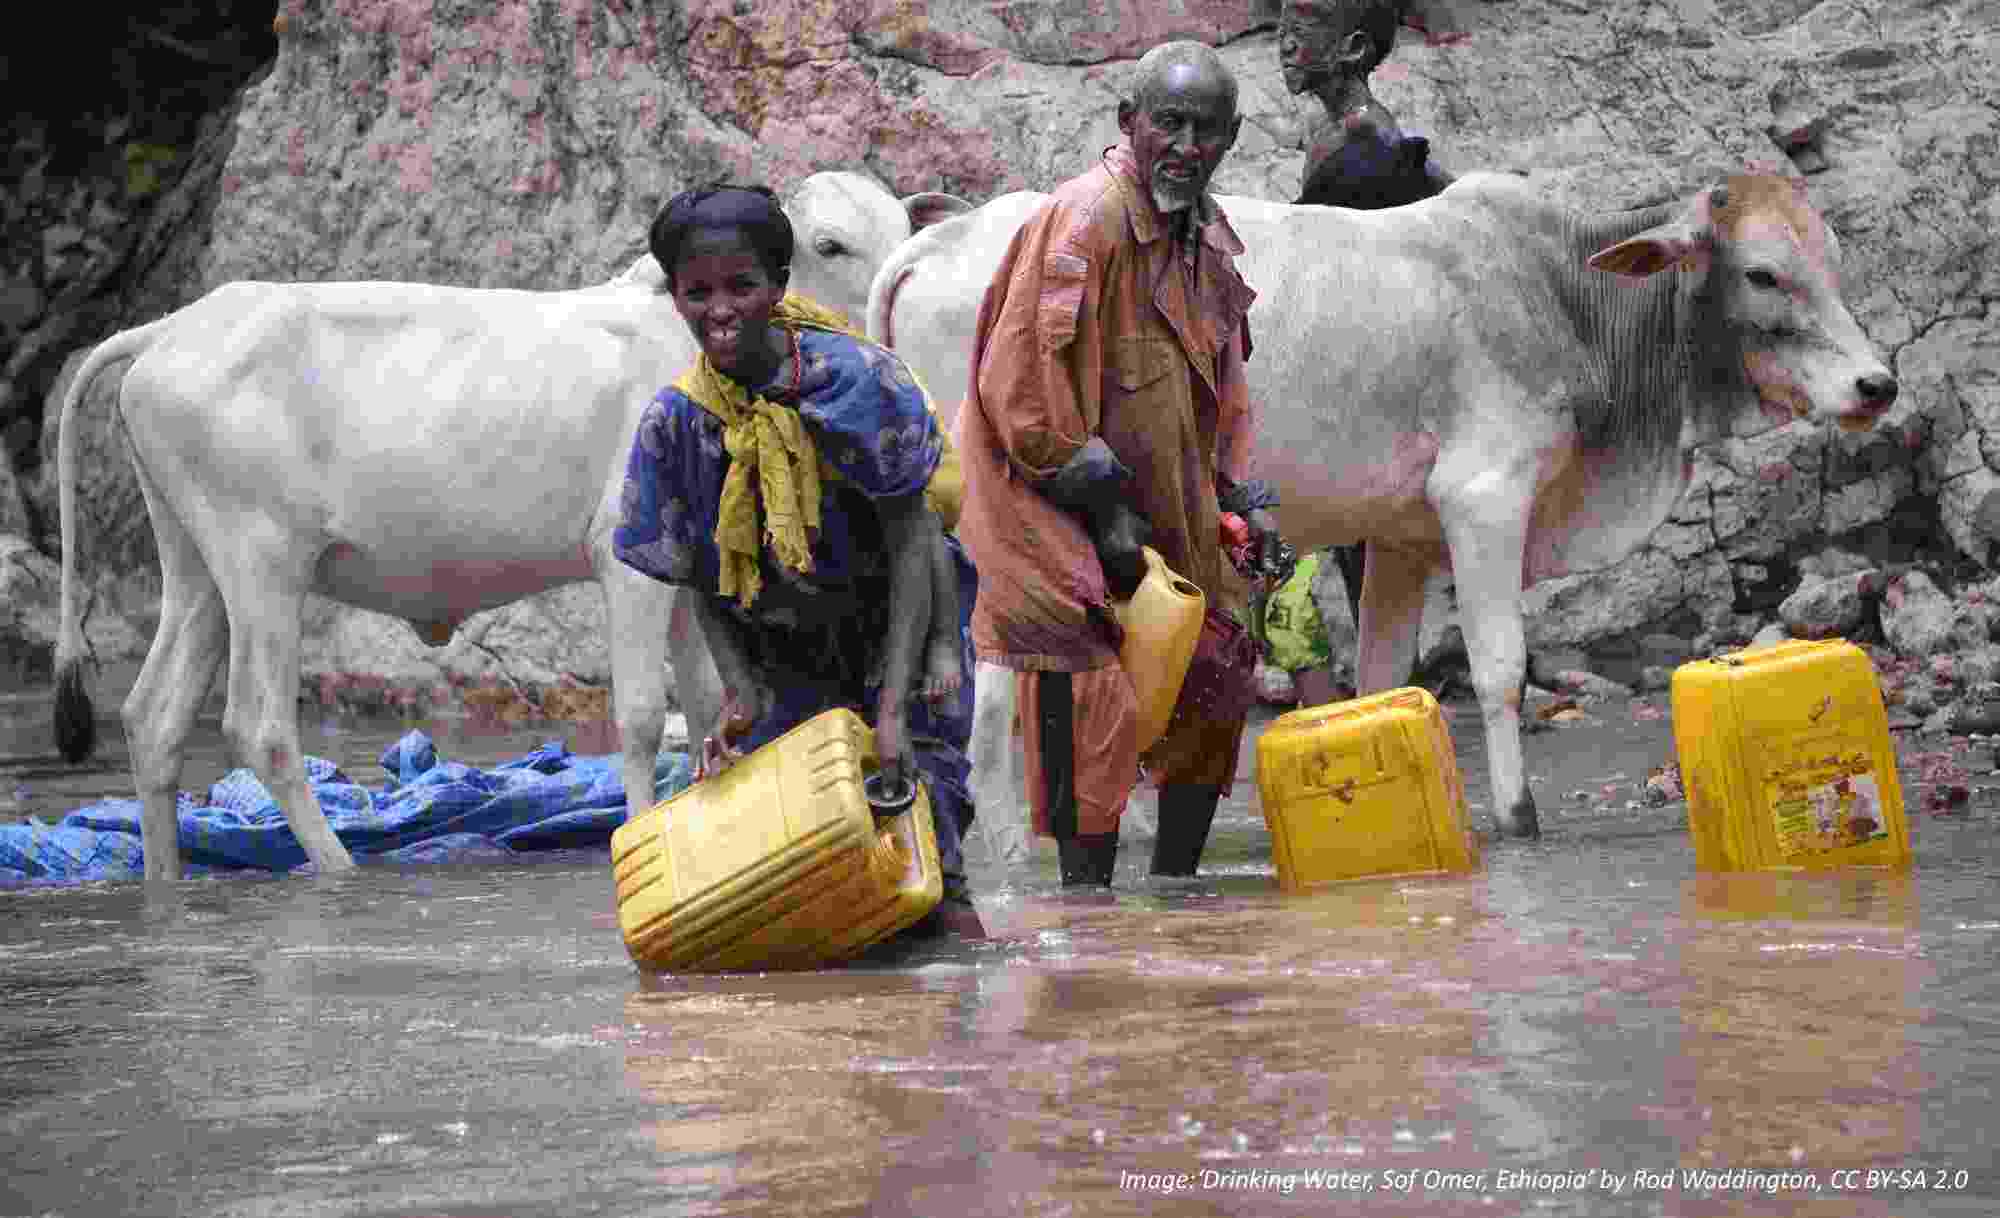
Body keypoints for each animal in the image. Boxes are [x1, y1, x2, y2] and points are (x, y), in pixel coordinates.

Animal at [50, 169, 972, 872]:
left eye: (897, 227)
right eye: (829, 245)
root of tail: (171, 329)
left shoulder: (681, 573)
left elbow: (713, 708)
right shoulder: (624, 558)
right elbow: (643, 715)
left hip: (197, 567)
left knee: (154, 718)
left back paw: (166, 883)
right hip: (262, 562)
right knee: (259, 726)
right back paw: (338, 870)